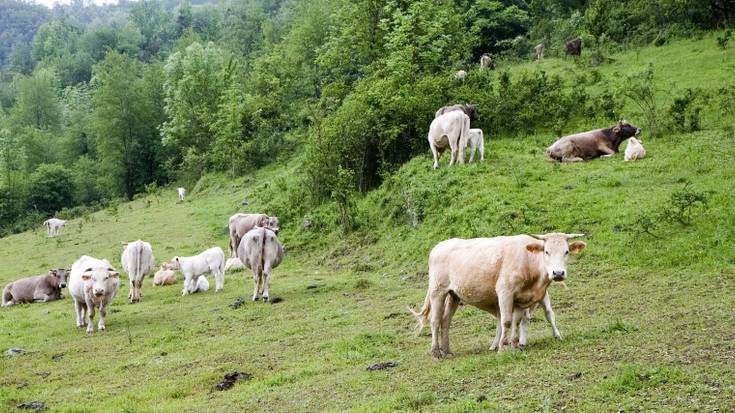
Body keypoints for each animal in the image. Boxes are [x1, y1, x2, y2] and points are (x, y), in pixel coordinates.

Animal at [408, 232, 588, 358]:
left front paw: (515, 345)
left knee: (445, 322)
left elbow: (518, 321)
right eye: (546, 251)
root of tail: (439, 246)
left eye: (566, 252)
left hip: (454, 295)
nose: (558, 273)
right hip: (438, 291)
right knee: (435, 321)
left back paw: (447, 351)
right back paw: (436, 353)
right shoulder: (505, 292)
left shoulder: (521, 298)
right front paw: (502, 348)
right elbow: (507, 321)